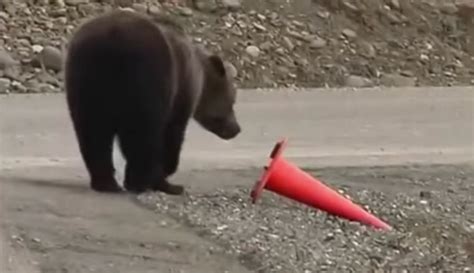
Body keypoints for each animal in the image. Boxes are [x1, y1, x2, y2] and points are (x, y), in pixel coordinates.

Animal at [64, 9, 241, 194]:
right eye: (233, 100)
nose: (236, 129)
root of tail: (109, 40)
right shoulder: (180, 90)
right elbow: (173, 132)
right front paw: (167, 177)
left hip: (85, 78)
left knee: (93, 130)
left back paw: (107, 183)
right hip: (146, 74)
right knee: (142, 132)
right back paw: (140, 182)